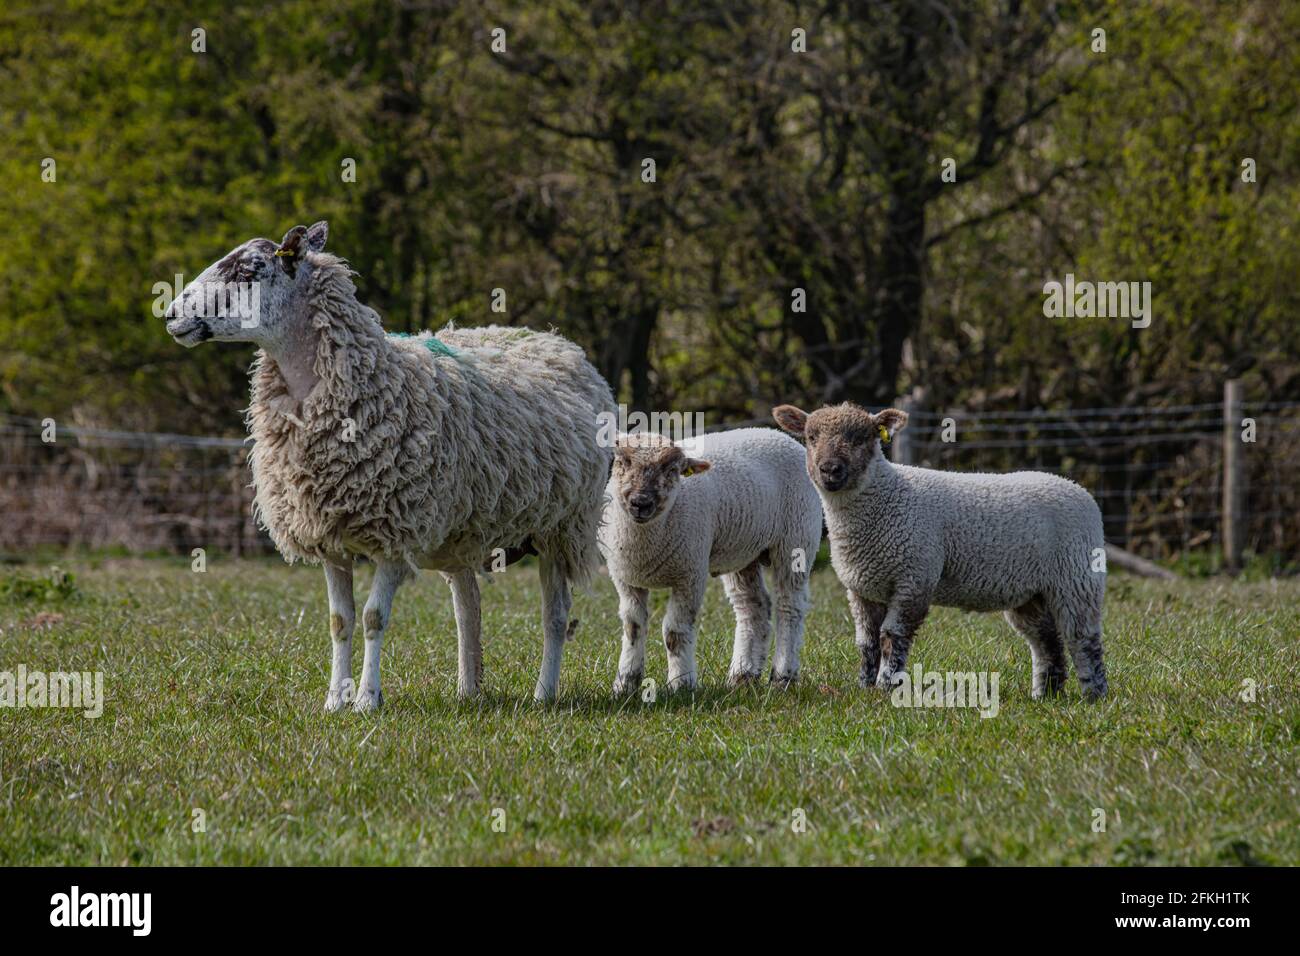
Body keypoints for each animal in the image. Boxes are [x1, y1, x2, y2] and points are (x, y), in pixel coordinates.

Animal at [164, 221, 615, 709]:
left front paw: (366, 700)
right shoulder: (328, 537)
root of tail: (556, 341)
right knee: (468, 606)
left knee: (556, 614)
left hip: (562, 525)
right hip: (465, 530)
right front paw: (333, 701)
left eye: (249, 269)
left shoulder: (397, 533)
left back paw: (543, 693)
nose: (170, 314)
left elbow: (373, 618)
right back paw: (468, 691)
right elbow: (339, 622)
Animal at [598, 428, 823, 692]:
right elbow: (633, 627)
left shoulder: (690, 573)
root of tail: (779, 435)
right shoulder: (625, 578)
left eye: (671, 469)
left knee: (790, 607)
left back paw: (782, 677)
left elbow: (675, 632)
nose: (640, 503)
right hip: (743, 551)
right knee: (752, 607)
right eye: (622, 461)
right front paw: (625, 684)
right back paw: (742, 676)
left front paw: (681, 684)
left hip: (797, 538)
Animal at [772, 402, 1109, 700]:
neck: (884, 497)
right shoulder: (861, 589)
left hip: (1077, 579)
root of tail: (1080, 491)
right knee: (1046, 642)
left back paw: (1094, 695)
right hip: (1031, 593)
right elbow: (866, 643)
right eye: (811, 437)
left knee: (1083, 638)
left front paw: (886, 687)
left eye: (860, 438)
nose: (829, 469)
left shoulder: (914, 578)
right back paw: (1046, 696)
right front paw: (865, 686)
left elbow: (891, 637)